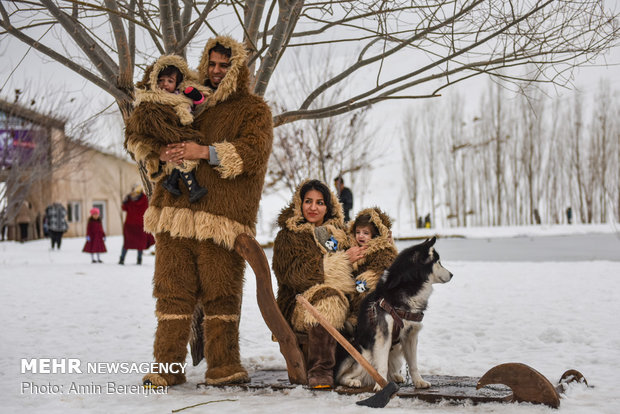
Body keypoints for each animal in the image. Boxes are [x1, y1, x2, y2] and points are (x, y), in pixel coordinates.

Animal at [336, 238, 452, 390]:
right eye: (438, 262)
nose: (452, 274)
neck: (409, 288)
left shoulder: (411, 335)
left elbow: (413, 364)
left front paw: (418, 381)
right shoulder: (384, 335)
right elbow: (382, 365)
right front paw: (382, 385)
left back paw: (395, 376)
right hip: (364, 355)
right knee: (342, 377)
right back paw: (352, 381)